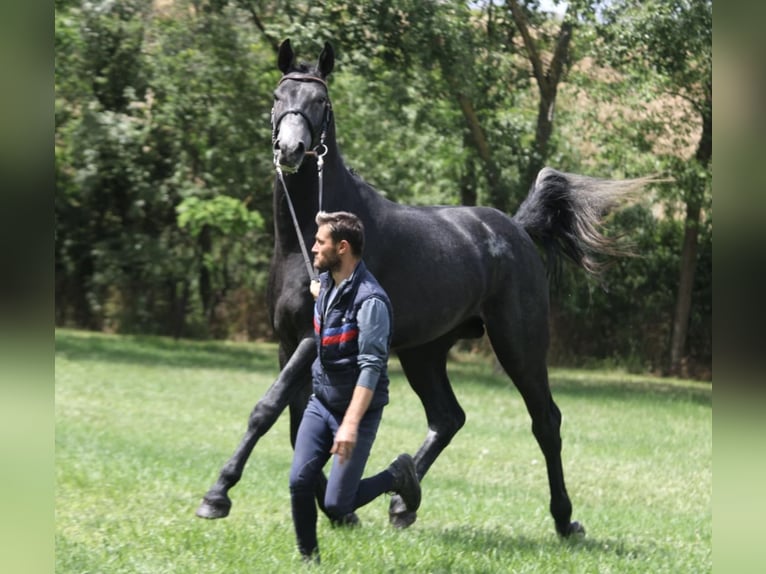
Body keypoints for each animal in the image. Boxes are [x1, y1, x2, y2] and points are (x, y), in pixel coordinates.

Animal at [196, 39, 652, 538]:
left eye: (321, 102)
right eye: (279, 96)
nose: (292, 149)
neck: (310, 242)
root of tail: (516, 229)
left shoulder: (308, 339)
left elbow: (268, 408)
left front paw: (218, 495)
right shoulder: (286, 342)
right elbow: (296, 422)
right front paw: (333, 505)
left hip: (520, 345)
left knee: (545, 421)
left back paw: (564, 520)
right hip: (424, 352)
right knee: (447, 418)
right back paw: (401, 499)